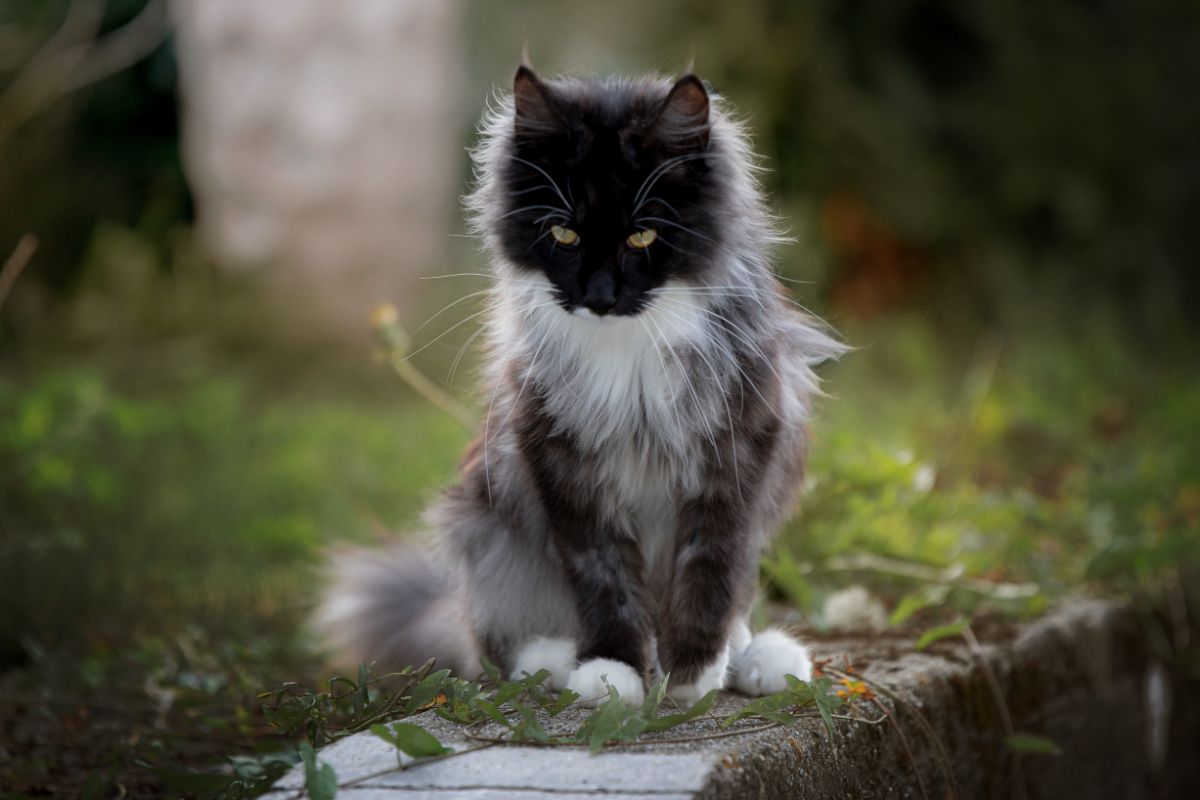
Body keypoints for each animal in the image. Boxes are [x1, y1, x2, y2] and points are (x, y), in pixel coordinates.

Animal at [314, 67, 849, 705]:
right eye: (563, 235)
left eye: (642, 237)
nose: (599, 296)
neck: (627, 348)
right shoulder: (560, 457)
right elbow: (602, 574)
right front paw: (612, 671)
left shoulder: (739, 450)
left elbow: (711, 569)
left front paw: (693, 673)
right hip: (487, 522)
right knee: (489, 636)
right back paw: (552, 659)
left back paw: (757, 658)